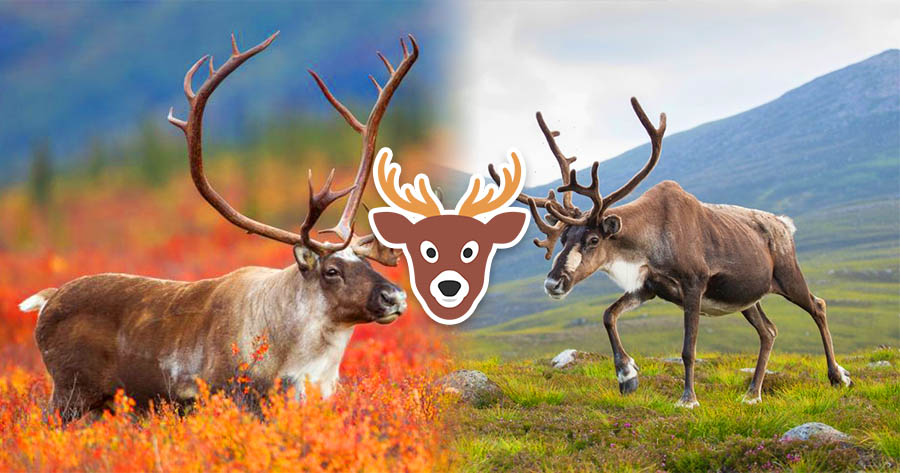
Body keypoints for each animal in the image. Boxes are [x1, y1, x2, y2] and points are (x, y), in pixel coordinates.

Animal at [18, 31, 419, 423]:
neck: (302, 361)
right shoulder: (234, 397)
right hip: (68, 396)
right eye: (332, 270)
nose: (394, 296)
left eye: (366, 262)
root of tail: (48, 299)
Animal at [506, 97, 851, 407]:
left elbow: (688, 349)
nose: (553, 283)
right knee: (768, 331)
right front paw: (627, 376)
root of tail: (784, 224)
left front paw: (688, 399)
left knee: (818, 306)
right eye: (564, 238)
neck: (649, 240)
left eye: (593, 239)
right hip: (747, 297)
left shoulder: (693, 284)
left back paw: (837, 376)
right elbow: (608, 315)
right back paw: (753, 393)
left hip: (788, 276)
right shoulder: (649, 287)